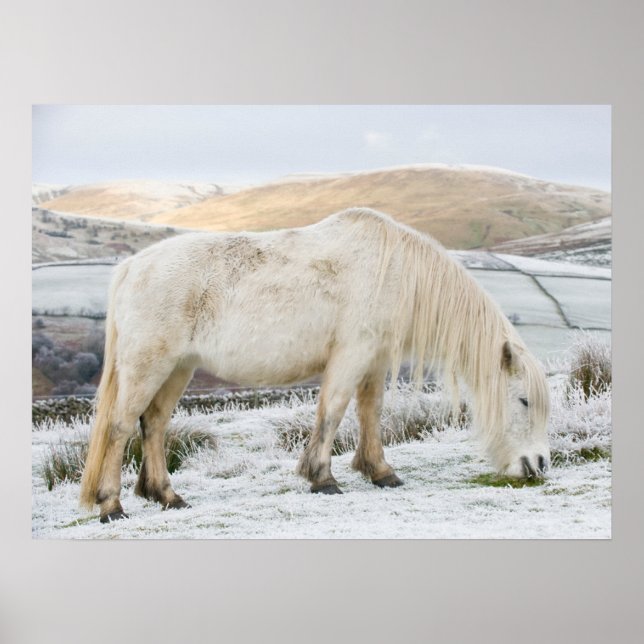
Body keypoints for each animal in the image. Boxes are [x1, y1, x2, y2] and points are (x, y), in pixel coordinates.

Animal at [79, 208, 550, 523]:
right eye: (524, 401)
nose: (540, 464)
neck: (394, 269)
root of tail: (131, 267)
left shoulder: (374, 359)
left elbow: (370, 412)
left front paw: (380, 471)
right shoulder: (352, 354)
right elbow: (333, 411)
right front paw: (322, 478)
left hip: (179, 368)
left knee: (154, 424)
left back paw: (167, 496)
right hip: (149, 365)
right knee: (120, 427)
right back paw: (111, 504)